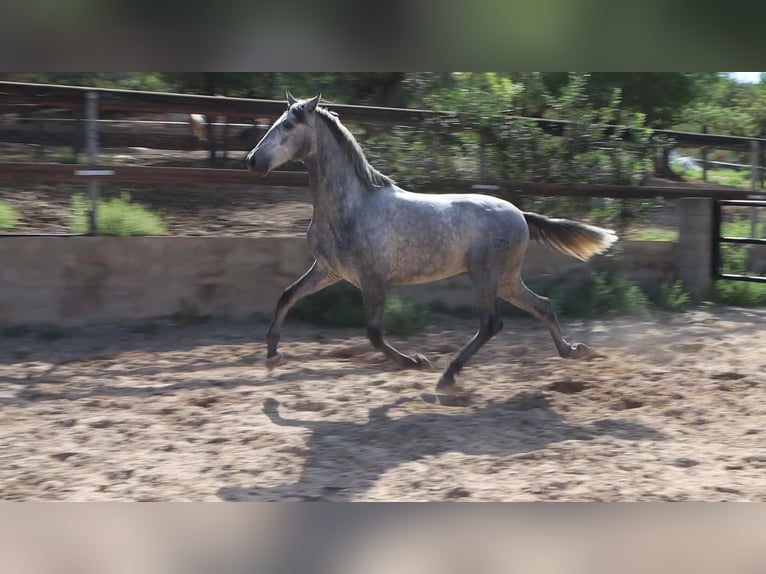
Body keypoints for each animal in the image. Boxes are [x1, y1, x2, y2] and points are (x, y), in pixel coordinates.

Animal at [246, 94, 616, 400]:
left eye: (289, 125)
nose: (252, 160)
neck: (351, 206)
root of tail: (519, 214)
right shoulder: (329, 271)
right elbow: (287, 296)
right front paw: (273, 356)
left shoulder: (373, 278)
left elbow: (374, 334)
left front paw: (416, 362)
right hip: (507, 279)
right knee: (542, 305)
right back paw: (573, 351)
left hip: (484, 275)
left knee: (491, 323)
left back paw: (447, 377)